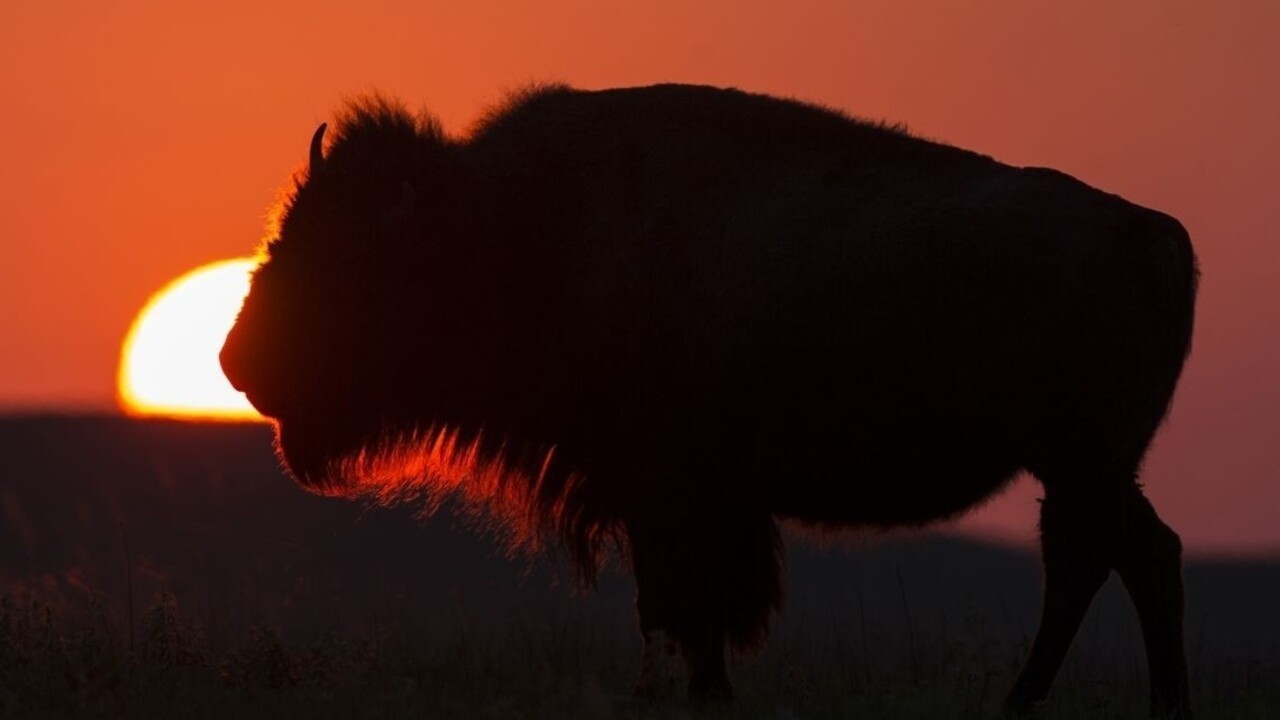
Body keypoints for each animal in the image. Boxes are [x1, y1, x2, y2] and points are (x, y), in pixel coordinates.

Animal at [222, 82, 1198, 712]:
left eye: (349, 258)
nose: (236, 362)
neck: (516, 229)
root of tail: (1151, 234)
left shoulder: (664, 493)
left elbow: (677, 602)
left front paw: (688, 693)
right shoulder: (693, 500)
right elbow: (697, 608)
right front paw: (707, 690)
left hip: (1081, 462)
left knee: (1122, 560)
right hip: (1085, 470)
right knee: (1110, 560)